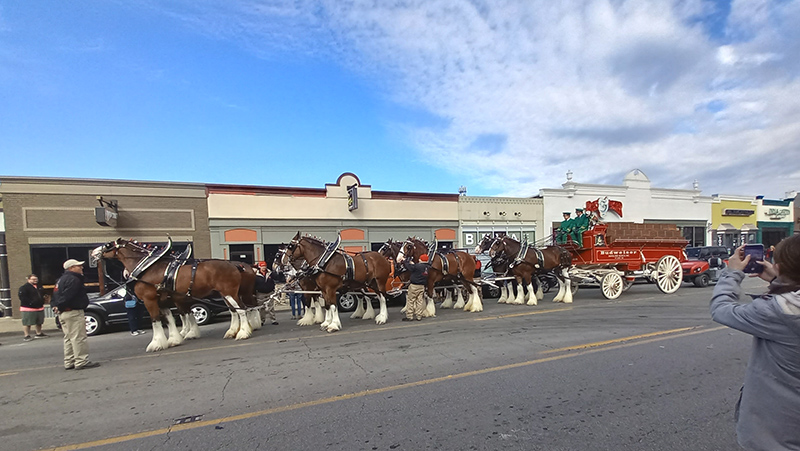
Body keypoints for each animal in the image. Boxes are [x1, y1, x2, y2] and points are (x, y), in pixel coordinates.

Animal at [91, 238, 260, 352]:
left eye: (108, 245)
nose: (93, 253)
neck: (147, 268)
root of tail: (235, 265)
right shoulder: (165, 300)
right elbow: (172, 318)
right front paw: (175, 338)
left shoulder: (150, 299)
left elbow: (157, 320)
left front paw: (156, 343)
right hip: (227, 294)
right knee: (236, 310)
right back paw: (235, 330)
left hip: (230, 292)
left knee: (242, 309)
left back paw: (243, 332)